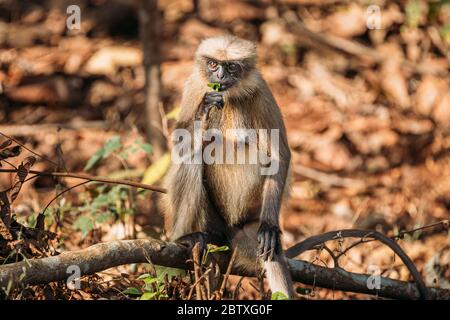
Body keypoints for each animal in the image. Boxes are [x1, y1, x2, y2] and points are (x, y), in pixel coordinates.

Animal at [162, 36, 296, 298]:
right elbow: (180, 144)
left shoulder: (262, 90)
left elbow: (280, 155)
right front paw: (204, 109)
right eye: (213, 64)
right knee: (192, 158)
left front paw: (270, 227)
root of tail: (228, 229)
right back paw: (183, 237)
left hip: (246, 226)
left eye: (232, 67)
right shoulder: (195, 85)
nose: (220, 76)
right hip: (209, 220)